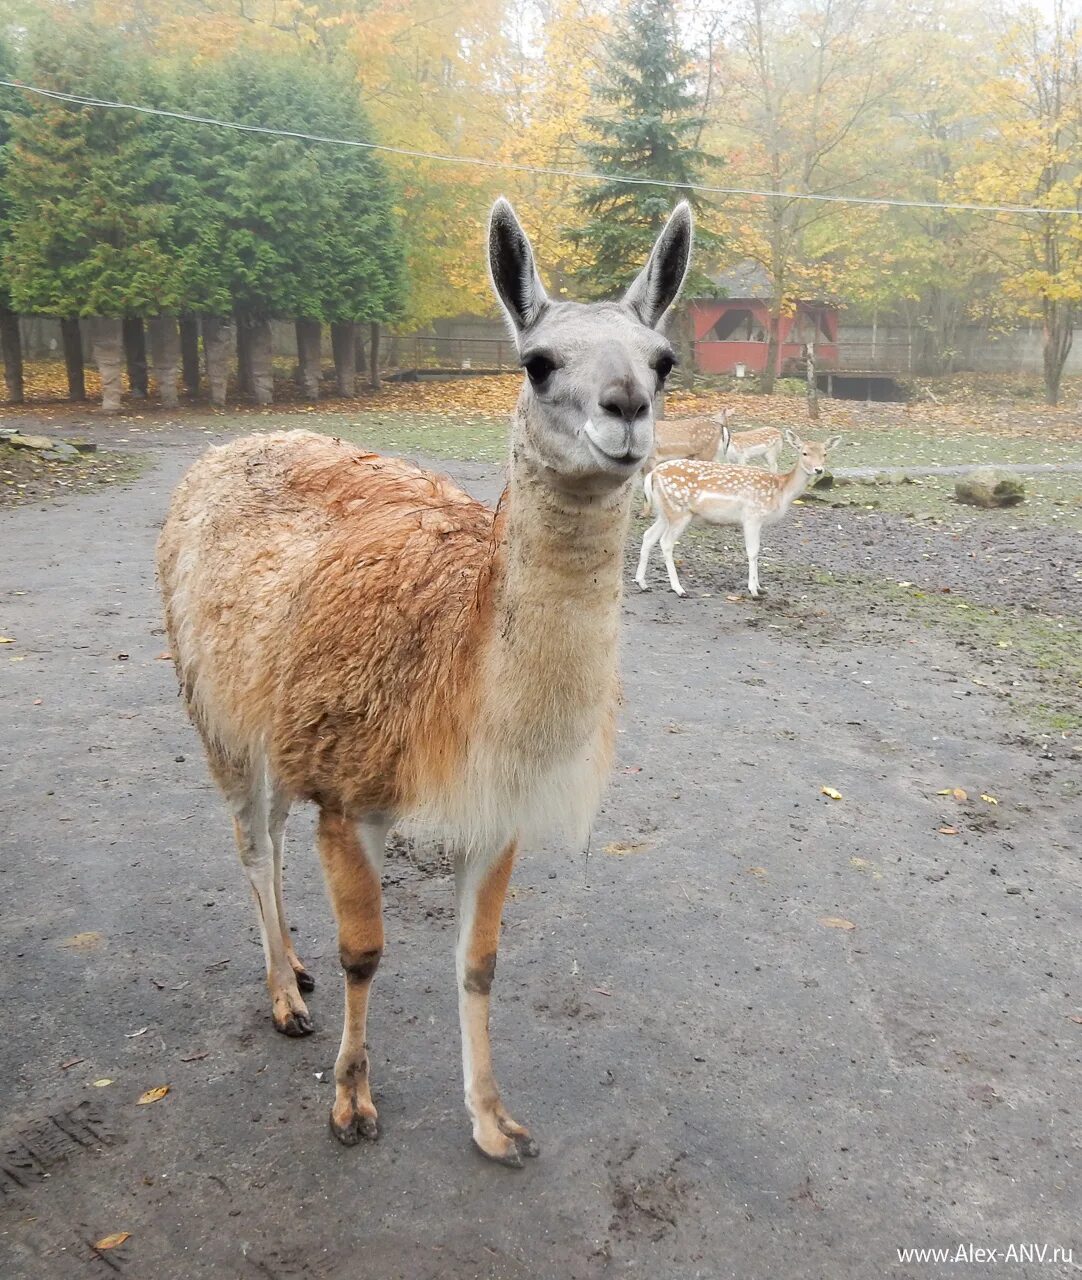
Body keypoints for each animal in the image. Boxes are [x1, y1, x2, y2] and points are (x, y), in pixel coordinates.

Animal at [156, 194, 691, 1167]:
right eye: (537, 362)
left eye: (663, 361)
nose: (627, 407)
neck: (457, 665)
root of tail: (241, 439)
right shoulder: (348, 793)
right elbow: (365, 954)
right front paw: (351, 1103)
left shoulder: (495, 809)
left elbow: (479, 965)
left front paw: (493, 1122)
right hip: (213, 708)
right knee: (251, 844)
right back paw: (283, 995)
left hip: (278, 716)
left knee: (272, 840)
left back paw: (291, 966)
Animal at [637, 424, 839, 593]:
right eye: (804, 453)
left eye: (825, 453)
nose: (819, 470)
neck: (781, 491)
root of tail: (652, 475)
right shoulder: (752, 516)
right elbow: (753, 551)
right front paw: (753, 589)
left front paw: (760, 586)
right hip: (679, 511)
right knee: (665, 542)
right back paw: (678, 588)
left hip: (665, 512)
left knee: (648, 535)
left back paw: (642, 582)